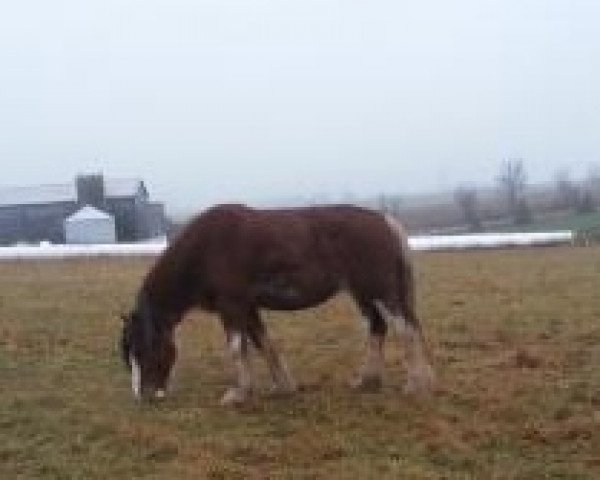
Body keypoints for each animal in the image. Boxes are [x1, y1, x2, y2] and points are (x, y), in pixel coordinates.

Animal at [119, 203, 434, 404]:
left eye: (143, 349)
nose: (144, 396)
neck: (206, 249)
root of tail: (384, 221)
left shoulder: (232, 306)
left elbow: (237, 348)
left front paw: (239, 394)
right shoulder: (248, 307)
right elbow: (263, 343)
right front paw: (283, 387)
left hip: (380, 292)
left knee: (405, 330)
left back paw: (415, 385)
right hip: (363, 294)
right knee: (377, 328)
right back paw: (367, 381)